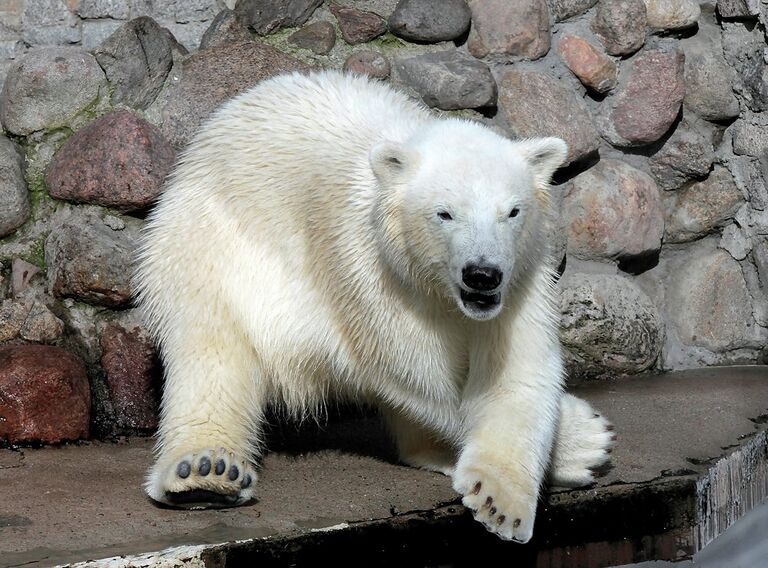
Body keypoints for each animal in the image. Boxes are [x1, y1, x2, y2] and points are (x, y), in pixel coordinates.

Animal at [136, 70, 612, 540]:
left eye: (512, 211)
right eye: (444, 213)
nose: (482, 273)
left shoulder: (518, 283)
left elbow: (517, 374)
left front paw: (502, 500)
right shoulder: (369, 272)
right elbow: (413, 373)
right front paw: (579, 441)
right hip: (210, 245)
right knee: (213, 354)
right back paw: (205, 471)